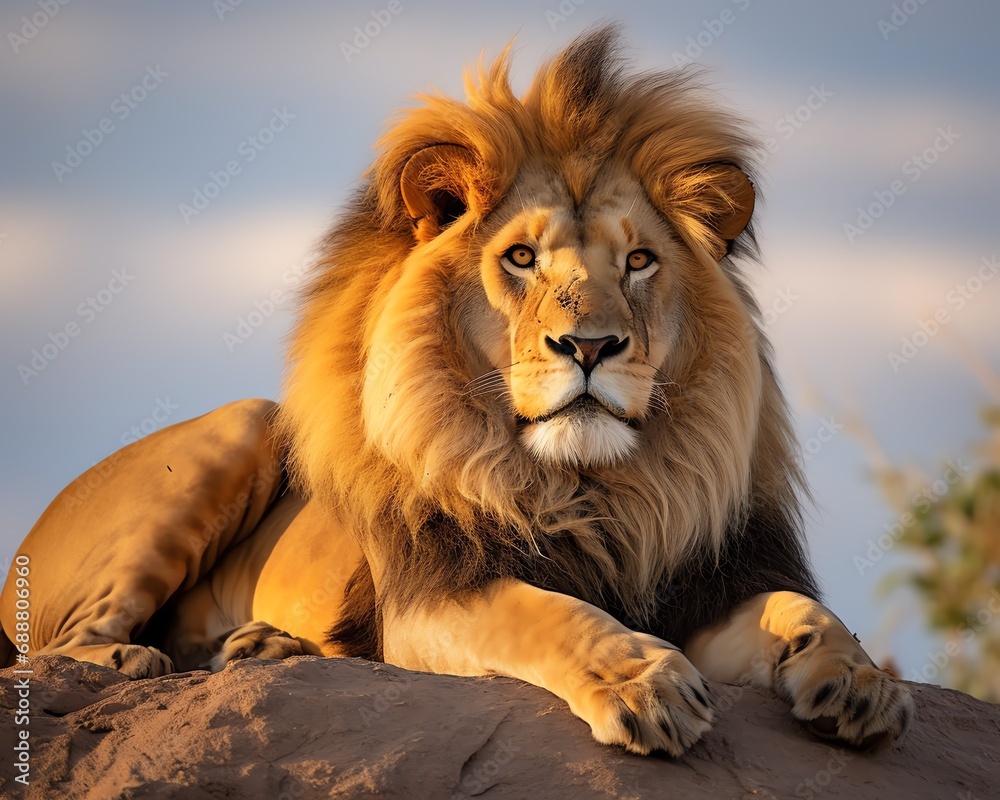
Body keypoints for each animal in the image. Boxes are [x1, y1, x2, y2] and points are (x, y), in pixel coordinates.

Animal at [0, 27, 913, 756]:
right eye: (521, 258)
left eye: (639, 261)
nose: (591, 346)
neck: (591, 490)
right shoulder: (434, 597)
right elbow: (548, 612)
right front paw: (641, 684)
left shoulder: (703, 586)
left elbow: (802, 609)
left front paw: (862, 679)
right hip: (245, 424)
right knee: (54, 649)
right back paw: (135, 656)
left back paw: (262, 647)